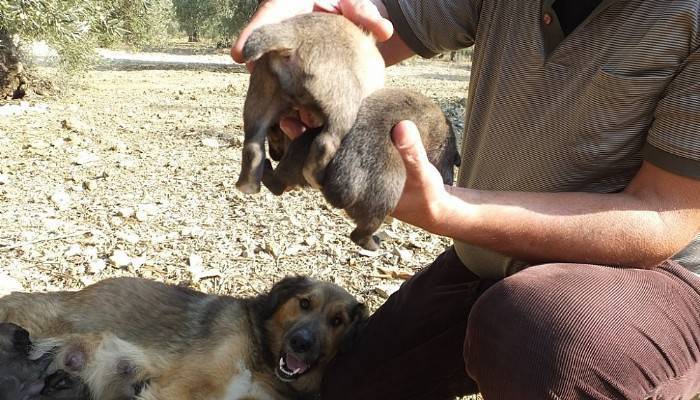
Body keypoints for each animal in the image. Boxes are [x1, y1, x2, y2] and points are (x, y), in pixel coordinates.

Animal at [238, 11, 386, 193]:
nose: (276, 156)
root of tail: (293, 36)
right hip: (344, 103)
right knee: (325, 143)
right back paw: (315, 178)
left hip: (261, 97)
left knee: (252, 146)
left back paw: (247, 185)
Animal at [262, 89, 460, 250]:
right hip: (382, 198)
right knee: (360, 233)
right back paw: (374, 244)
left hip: (301, 148)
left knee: (277, 182)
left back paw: (266, 167)